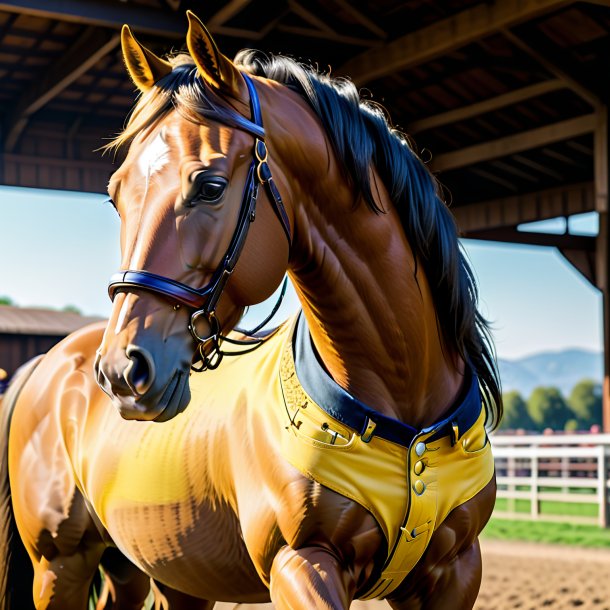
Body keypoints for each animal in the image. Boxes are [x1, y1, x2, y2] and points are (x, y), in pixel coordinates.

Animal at [1, 10, 498, 608]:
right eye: (117, 194)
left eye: (210, 186)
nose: (123, 370)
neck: (406, 414)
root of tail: (48, 365)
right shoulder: (300, 564)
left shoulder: (454, 570)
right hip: (60, 566)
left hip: (152, 572)